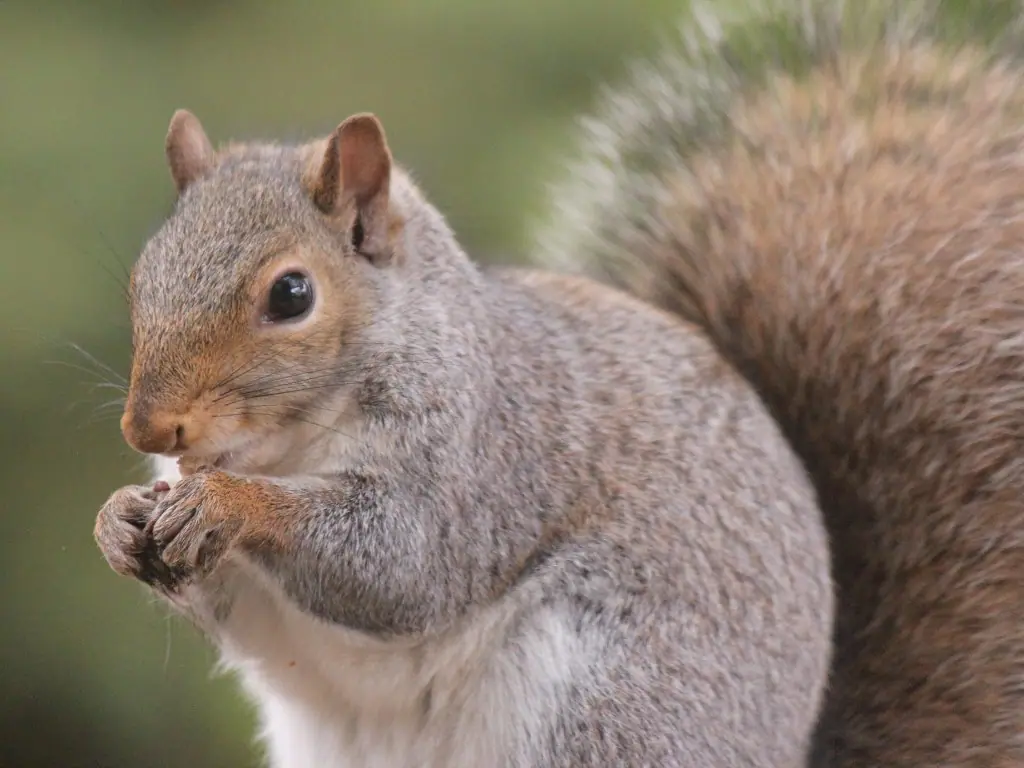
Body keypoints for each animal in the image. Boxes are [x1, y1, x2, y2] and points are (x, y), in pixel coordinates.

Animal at [93, 108, 832, 768]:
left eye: (292, 294)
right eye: (142, 277)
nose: (145, 426)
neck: (288, 445)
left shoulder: (478, 462)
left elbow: (404, 563)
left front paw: (229, 502)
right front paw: (116, 520)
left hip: (612, 700)